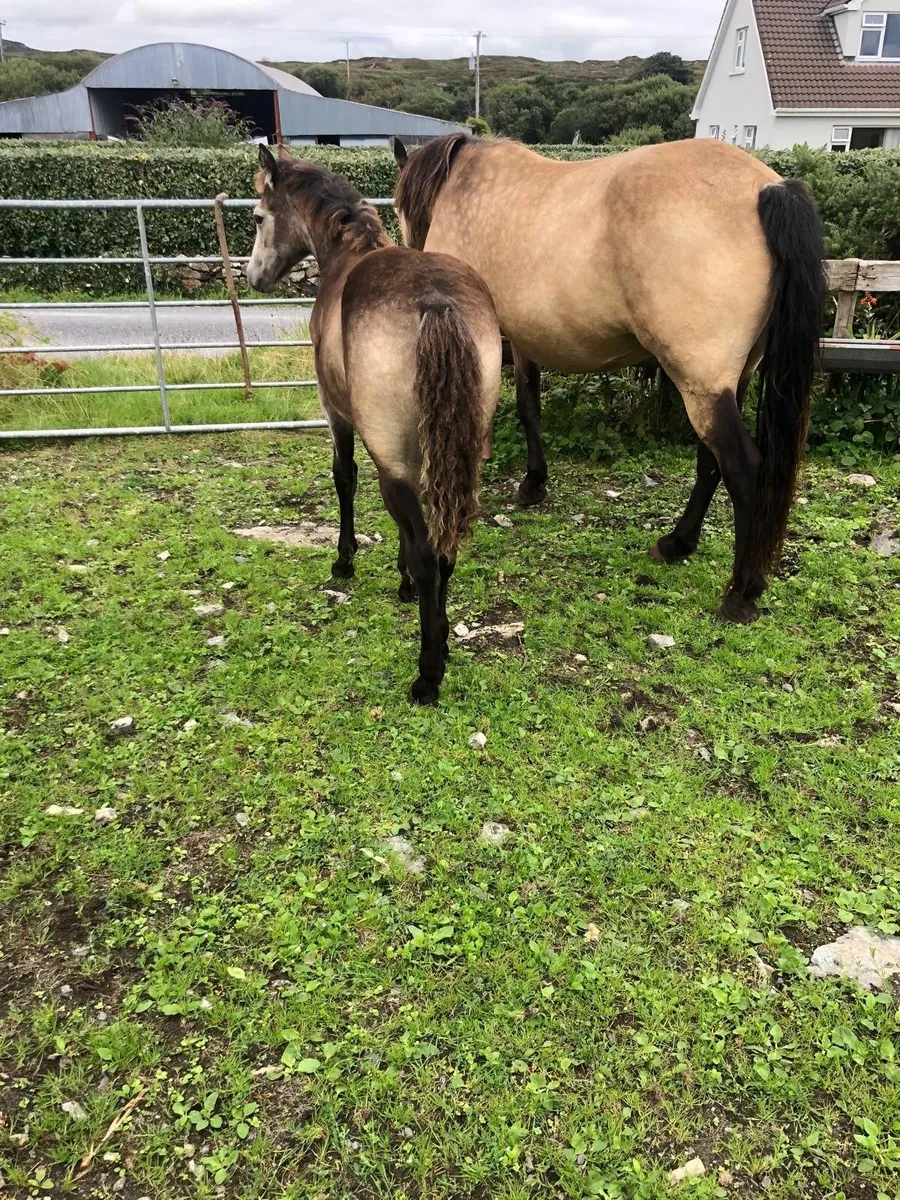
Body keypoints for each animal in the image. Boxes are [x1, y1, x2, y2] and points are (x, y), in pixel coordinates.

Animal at [247, 145, 502, 704]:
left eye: (258, 217)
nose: (254, 276)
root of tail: (435, 301)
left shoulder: (337, 414)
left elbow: (344, 478)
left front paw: (346, 562)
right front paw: (405, 587)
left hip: (395, 461)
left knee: (430, 552)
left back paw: (427, 674)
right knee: (445, 547)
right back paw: (441, 642)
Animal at [392, 134, 826, 625]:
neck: (464, 188)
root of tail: (766, 188)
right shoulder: (523, 340)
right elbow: (529, 406)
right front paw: (534, 483)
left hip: (701, 382)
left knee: (743, 471)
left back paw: (742, 592)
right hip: (728, 381)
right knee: (711, 462)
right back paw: (677, 544)